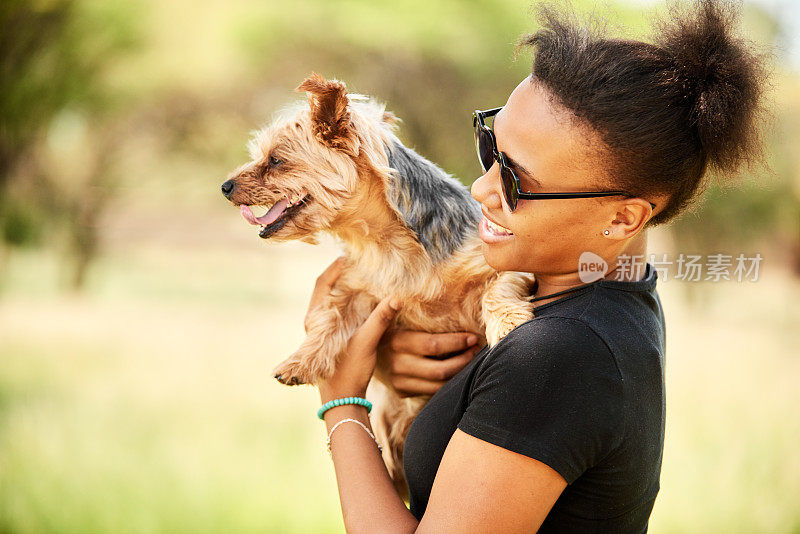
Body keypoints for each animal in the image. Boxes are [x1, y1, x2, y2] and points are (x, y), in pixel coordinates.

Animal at [219, 74, 536, 494]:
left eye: (275, 160)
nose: (225, 186)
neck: (385, 243)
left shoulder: (502, 263)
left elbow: (496, 293)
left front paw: (509, 325)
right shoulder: (357, 287)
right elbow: (328, 318)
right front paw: (300, 360)